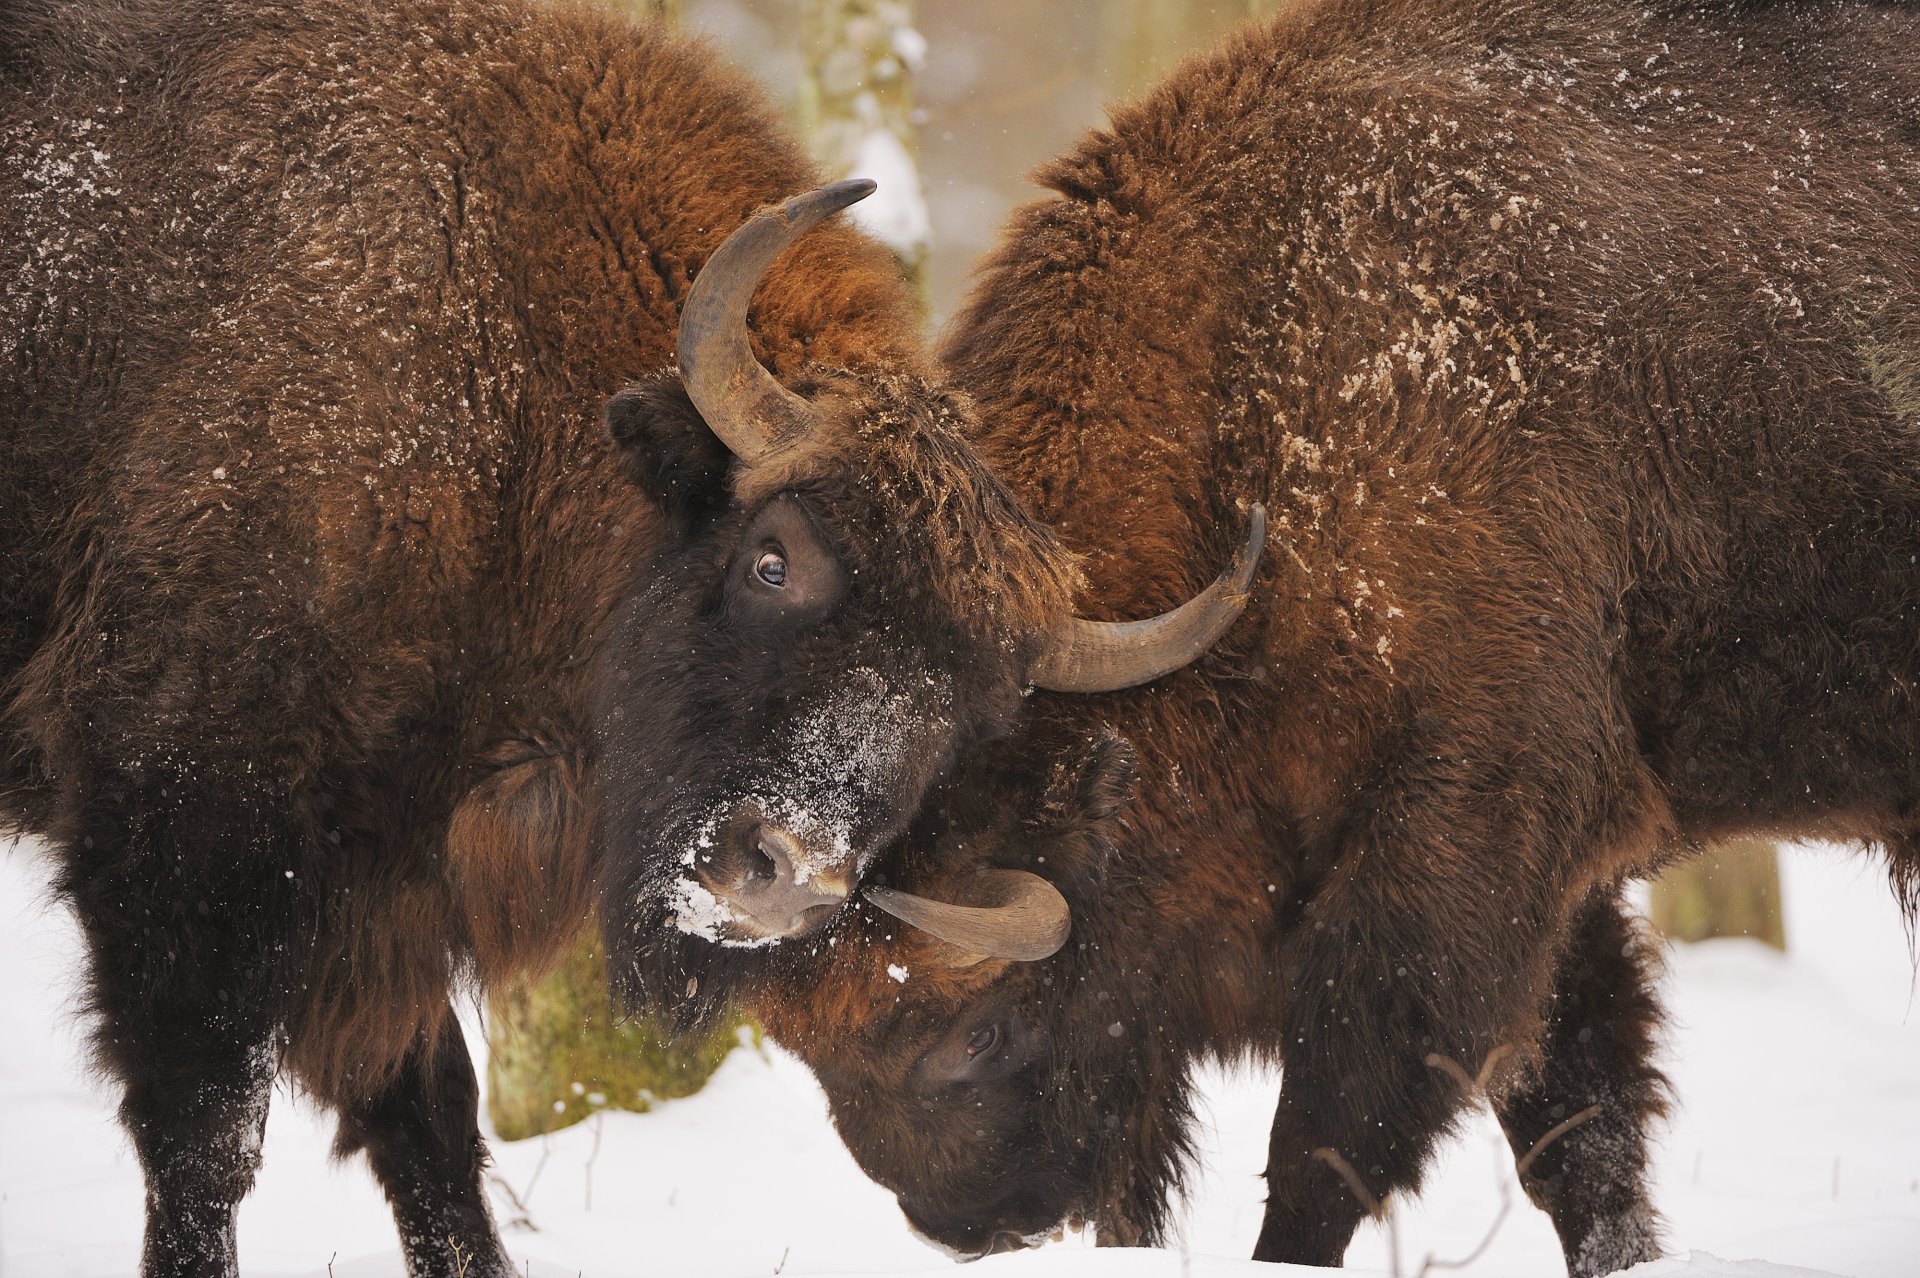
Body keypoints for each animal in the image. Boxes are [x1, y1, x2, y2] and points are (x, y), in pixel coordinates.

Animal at [0, 1, 1253, 1273]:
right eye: (770, 559)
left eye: (977, 706)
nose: (787, 879)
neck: (496, 381)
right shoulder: (182, 840)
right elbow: (209, 1136)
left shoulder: (388, 900)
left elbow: (429, 1125)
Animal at [755, 0, 1920, 1273]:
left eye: (980, 1030)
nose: (969, 1223)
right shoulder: (1556, 885)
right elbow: (1577, 1128)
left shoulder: (1461, 834)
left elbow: (1337, 1130)